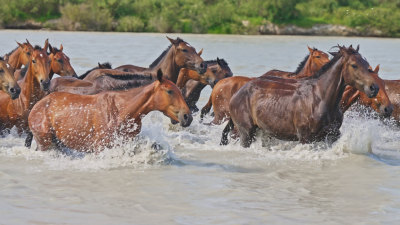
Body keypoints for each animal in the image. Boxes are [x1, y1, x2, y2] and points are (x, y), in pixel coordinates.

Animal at [28, 69, 192, 152]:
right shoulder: (99, 147)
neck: (121, 110)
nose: (187, 117)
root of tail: (36, 107)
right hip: (45, 143)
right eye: (169, 91)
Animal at [220, 45, 380, 148]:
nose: (374, 88)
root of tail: (237, 94)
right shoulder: (306, 138)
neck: (321, 98)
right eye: (354, 65)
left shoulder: (332, 135)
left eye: (366, 64)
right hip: (246, 133)